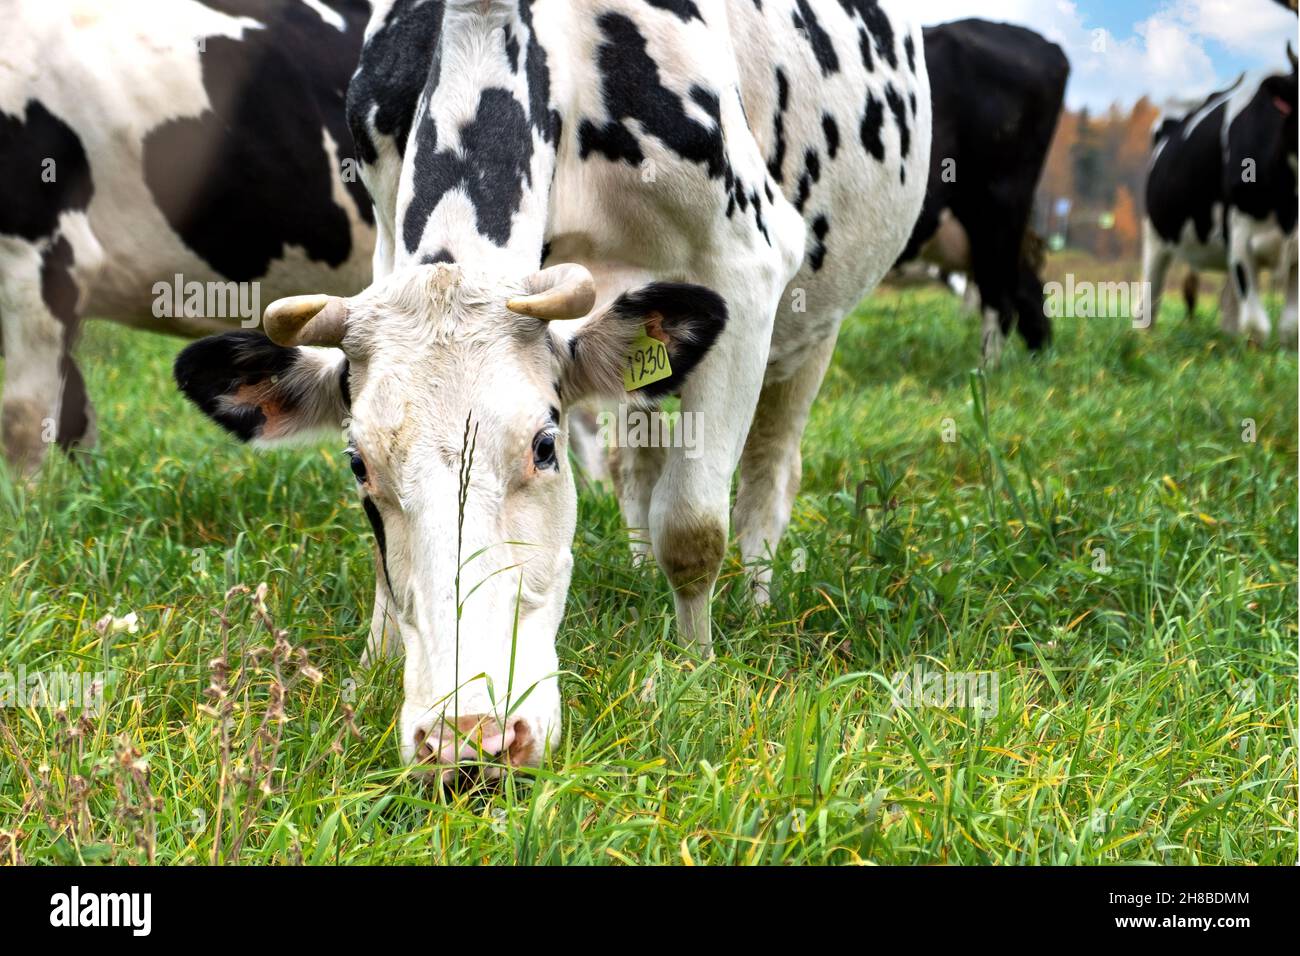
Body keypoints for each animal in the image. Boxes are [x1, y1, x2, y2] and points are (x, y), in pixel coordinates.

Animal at [1138, 47, 1300, 348]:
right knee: (1149, 300)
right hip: (1156, 233)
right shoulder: (1240, 238)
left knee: (1228, 305)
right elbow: (1256, 325)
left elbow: (1290, 328)